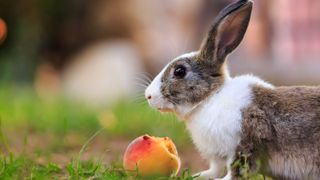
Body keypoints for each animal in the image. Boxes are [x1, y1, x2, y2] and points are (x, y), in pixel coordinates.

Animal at [145, 0, 320, 179]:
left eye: (179, 71)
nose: (148, 96)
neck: (210, 98)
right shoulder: (217, 156)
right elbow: (214, 169)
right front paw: (198, 175)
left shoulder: (244, 144)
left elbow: (237, 170)